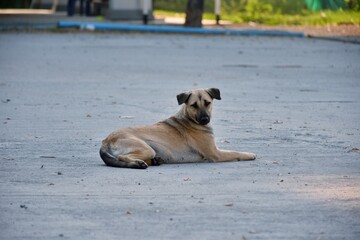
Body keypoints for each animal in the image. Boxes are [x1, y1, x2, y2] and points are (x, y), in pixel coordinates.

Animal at [98, 88, 256, 169]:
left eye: (207, 103)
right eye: (193, 105)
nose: (204, 120)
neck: (189, 118)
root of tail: (105, 141)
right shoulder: (215, 154)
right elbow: (236, 152)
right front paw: (249, 154)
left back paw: (153, 162)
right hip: (146, 148)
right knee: (122, 157)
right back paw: (138, 163)